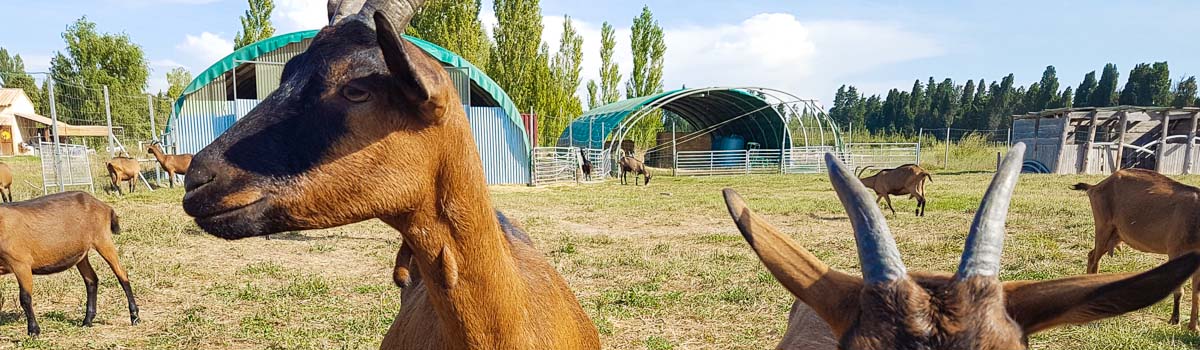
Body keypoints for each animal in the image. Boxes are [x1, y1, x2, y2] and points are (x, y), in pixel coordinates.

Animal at [0, 191, 138, 335]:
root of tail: (104, 206)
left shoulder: (21, 263)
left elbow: (25, 298)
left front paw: (34, 331)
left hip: (103, 239)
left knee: (121, 273)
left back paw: (134, 316)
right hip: (81, 253)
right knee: (91, 279)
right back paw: (87, 320)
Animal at [1075, 169, 1200, 330]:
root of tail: (1095, 186)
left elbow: (1196, 293)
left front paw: (1193, 327)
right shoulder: (1176, 251)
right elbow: (1179, 289)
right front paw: (1175, 320)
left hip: (1115, 235)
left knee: (1091, 255)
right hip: (1103, 227)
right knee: (1094, 260)